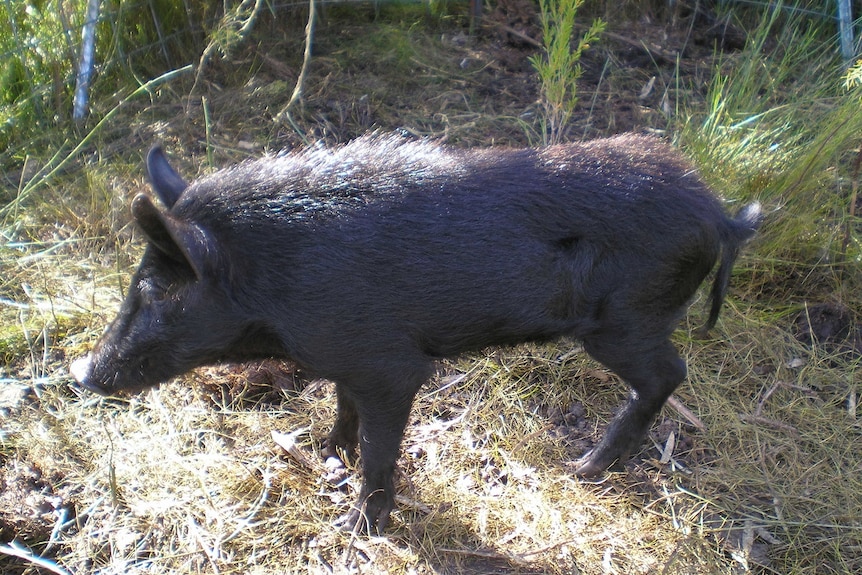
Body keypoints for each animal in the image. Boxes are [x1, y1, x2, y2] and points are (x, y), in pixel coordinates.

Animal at [72, 134, 764, 536]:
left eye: (154, 291)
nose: (83, 374)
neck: (274, 280)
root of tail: (721, 216)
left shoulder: (391, 365)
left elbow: (380, 448)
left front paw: (354, 530)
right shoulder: (349, 360)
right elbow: (343, 407)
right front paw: (325, 453)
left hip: (627, 320)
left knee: (670, 373)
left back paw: (584, 468)